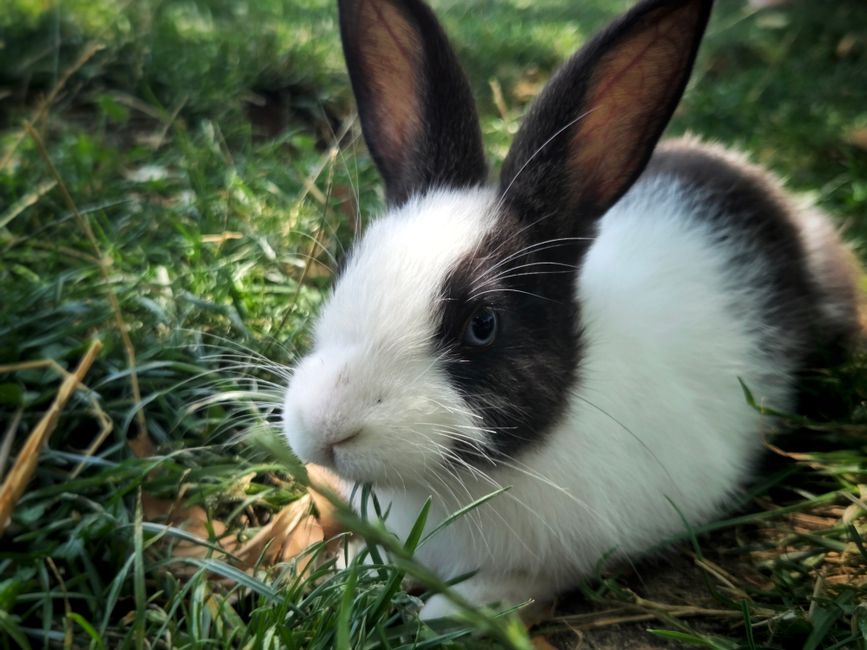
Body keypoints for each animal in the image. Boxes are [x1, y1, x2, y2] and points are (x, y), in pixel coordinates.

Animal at [281, 0, 861, 619]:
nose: (326, 428)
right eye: (346, 271)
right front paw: (352, 571)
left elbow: (536, 581)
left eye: (482, 325)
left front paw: (462, 608)